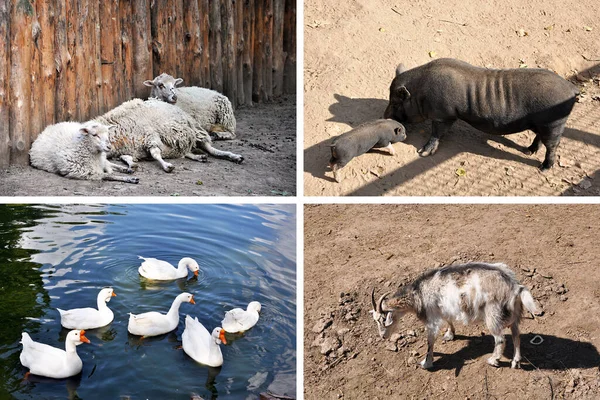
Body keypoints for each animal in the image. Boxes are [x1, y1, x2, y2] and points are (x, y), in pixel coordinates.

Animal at [94, 98, 244, 172]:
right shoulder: (131, 149)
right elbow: (126, 157)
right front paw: (132, 165)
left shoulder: (150, 136)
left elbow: (155, 153)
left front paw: (166, 166)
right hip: (183, 142)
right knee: (186, 151)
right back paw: (199, 157)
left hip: (194, 131)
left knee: (210, 148)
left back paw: (234, 156)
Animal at [370, 262, 540, 368]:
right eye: (375, 320)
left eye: (384, 319)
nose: (383, 336)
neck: (419, 294)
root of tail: (515, 286)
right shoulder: (443, 309)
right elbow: (448, 320)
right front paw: (450, 334)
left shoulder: (431, 320)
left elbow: (430, 341)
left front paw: (426, 363)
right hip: (514, 315)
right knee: (516, 335)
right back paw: (516, 362)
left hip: (493, 315)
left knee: (500, 339)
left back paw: (493, 360)